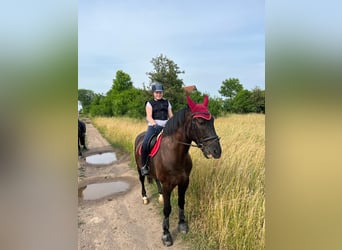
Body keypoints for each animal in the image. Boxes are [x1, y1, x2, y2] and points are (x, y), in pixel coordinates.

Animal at [134, 95, 222, 246]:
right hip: (140, 169)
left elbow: (181, 202)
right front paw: (166, 234)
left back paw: (160, 196)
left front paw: (182, 225)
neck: (174, 154)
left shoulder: (184, 182)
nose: (216, 151)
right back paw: (145, 197)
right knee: (142, 180)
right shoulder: (167, 185)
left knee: (156, 180)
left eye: (212, 120)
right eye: (200, 122)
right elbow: (167, 209)